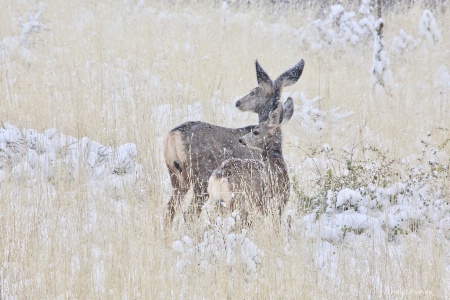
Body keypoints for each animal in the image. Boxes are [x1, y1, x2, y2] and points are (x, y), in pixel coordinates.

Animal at [163, 59, 304, 226]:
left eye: (253, 91)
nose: (238, 102)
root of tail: (173, 135)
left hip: (176, 177)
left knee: (170, 208)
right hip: (201, 178)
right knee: (190, 213)